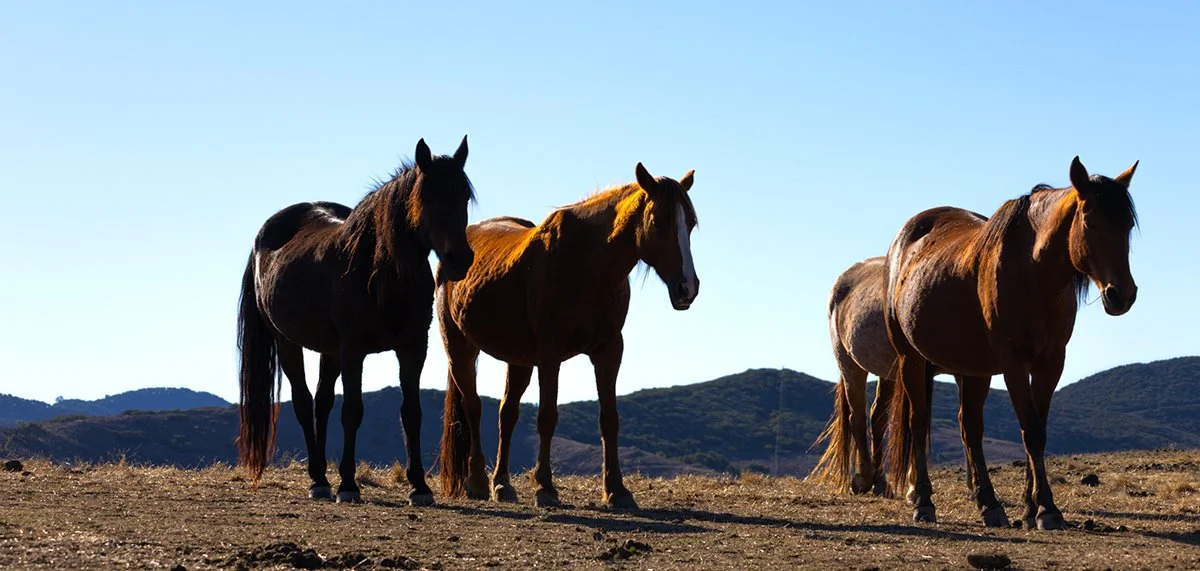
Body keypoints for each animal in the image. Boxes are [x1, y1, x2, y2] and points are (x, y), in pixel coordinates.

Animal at [236, 137, 475, 506]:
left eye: (463, 196)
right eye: (428, 197)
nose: (459, 260)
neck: (381, 271)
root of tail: (264, 236)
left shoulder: (412, 347)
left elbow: (411, 413)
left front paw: (419, 486)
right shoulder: (353, 349)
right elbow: (352, 411)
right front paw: (348, 484)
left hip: (329, 350)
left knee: (321, 403)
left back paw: (320, 477)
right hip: (287, 342)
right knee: (304, 403)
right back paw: (320, 479)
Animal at [436, 163, 699, 509]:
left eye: (691, 223)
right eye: (659, 221)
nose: (688, 288)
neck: (586, 264)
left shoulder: (609, 351)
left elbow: (609, 419)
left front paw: (617, 489)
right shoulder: (550, 355)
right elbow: (547, 417)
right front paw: (545, 487)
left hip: (518, 359)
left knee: (507, 414)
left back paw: (502, 484)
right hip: (460, 348)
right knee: (473, 407)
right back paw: (479, 481)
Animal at [883, 156, 1139, 529]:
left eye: (1128, 225)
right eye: (1090, 221)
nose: (1122, 295)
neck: (1033, 273)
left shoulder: (1051, 362)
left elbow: (1038, 430)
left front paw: (1031, 508)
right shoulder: (1013, 363)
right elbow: (1030, 431)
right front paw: (1047, 509)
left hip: (971, 368)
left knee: (969, 428)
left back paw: (988, 503)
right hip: (910, 359)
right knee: (919, 422)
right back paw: (924, 502)